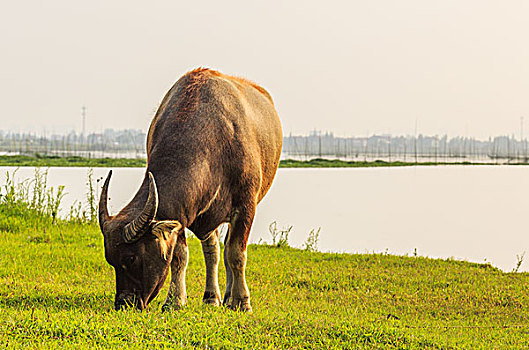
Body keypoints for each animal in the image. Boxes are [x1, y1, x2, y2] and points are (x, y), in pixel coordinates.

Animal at [97, 68, 282, 312]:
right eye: (111, 260)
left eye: (131, 258)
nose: (124, 302)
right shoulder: (181, 212)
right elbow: (180, 257)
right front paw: (175, 301)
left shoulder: (246, 207)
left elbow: (236, 254)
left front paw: (242, 302)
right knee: (213, 251)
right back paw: (212, 296)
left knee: (227, 251)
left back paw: (230, 297)